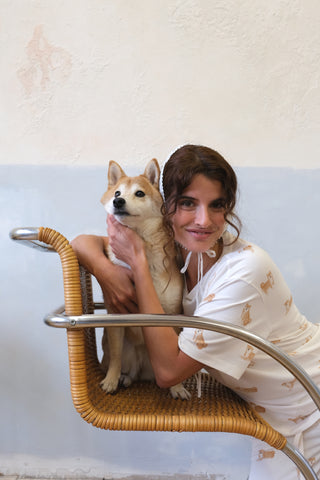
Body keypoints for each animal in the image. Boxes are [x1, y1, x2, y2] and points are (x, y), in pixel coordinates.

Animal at [100, 159, 190, 400]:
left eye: (139, 193)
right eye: (117, 192)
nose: (118, 201)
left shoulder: (172, 314)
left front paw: (177, 388)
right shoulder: (116, 314)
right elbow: (115, 356)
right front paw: (110, 380)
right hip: (128, 351)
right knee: (126, 367)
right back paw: (123, 378)